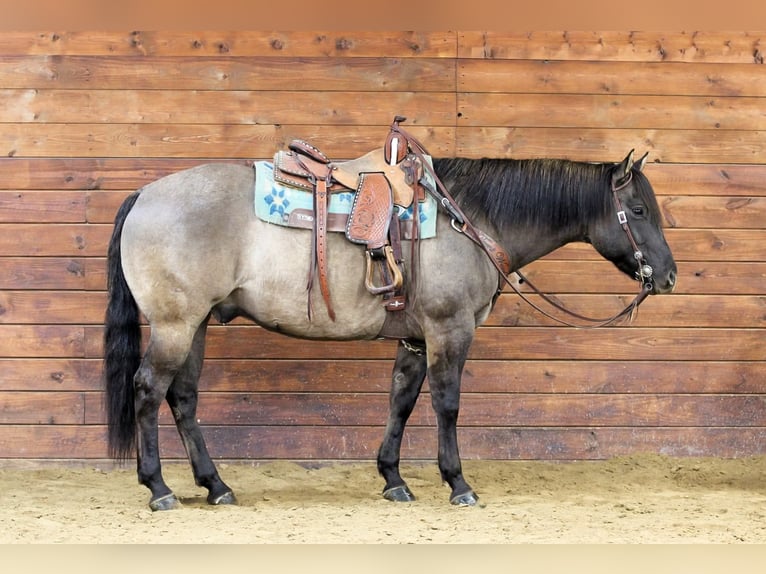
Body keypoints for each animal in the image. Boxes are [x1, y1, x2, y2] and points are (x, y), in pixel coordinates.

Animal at [103, 145, 677, 511]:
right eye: (638, 209)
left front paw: (393, 478)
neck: (469, 220)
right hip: (177, 324)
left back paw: (215, 485)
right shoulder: (450, 331)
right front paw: (458, 483)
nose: (668, 276)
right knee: (149, 390)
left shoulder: (416, 339)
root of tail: (145, 195)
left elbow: (401, 399)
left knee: (183, 398)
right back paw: (159, 488)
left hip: (197, 324)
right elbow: (447, 404)